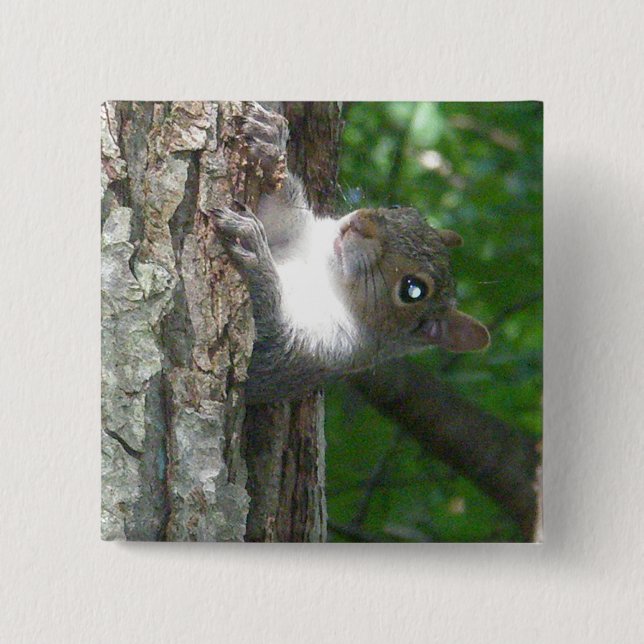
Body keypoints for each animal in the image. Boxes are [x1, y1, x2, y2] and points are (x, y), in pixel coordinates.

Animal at [207, 103, 490, 404]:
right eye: (402, 209)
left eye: (413, 290)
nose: (361, 225)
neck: (327, 272)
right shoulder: (295, 235)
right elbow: (279, 213)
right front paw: (271, 144)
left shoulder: (314, 355)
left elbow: (266, 344)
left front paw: (254, 255)